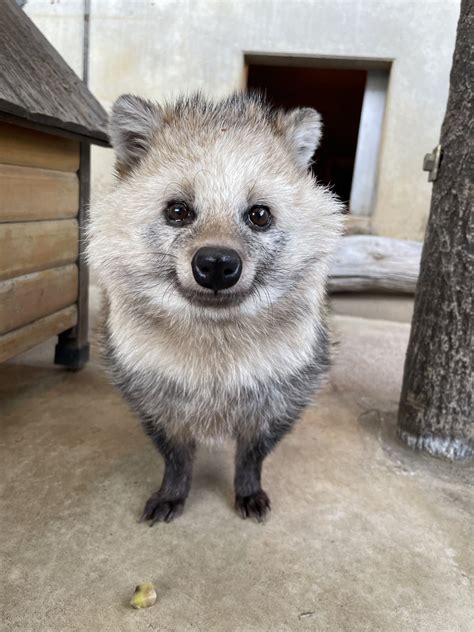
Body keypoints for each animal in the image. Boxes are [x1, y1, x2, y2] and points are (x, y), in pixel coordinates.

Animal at [88, 92, 340, 524]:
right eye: (177, 210)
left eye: (260, 214)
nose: (217, 264)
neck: (215, 334)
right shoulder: (150, 392)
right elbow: (175, 454)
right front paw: (173, 490)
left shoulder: (286, 390)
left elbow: (253, 453)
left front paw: (248, 487)